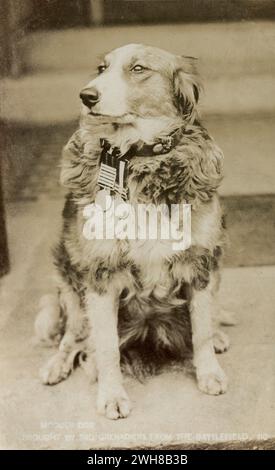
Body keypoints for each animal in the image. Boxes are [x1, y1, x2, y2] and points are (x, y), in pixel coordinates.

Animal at [36, 43, 232, 418]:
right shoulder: (99, 274)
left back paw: (217, 335)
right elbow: (107, 346)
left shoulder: (200, 263)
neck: (138, 158)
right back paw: (58, 363)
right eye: (102, 68)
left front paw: (209, 372)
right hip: (67, 276)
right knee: (73, 334)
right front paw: (112, 395)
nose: (86, 95)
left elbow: (200, 328)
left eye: (138, 69)